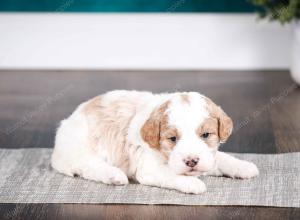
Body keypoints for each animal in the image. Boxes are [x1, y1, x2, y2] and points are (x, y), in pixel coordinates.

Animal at [51, 90, 258, 193]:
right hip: (81, 147)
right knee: (88, 167)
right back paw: (114, 176)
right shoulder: (149, 169)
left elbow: (221, 158)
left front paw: (243, 166)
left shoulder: (209, 156)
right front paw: (193, 183)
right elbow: (173, 175)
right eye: (172, 139)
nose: (191, 161)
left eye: (206, 135)